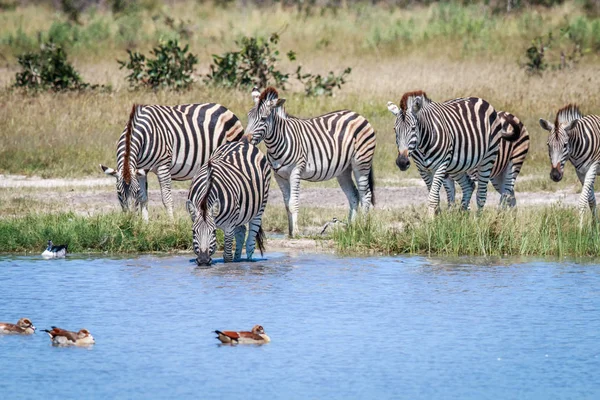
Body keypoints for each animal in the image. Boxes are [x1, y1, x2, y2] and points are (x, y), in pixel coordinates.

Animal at [101, 102, 244, 222]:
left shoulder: (163, 166)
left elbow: (166, 198)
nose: (130, 221)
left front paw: (171, 224)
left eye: (134, 192)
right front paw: (145, 225)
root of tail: (223, 108)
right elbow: (144, 198)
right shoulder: (141, 169)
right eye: (119, 193)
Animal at [244, 86, 376, 238]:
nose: (244, 140)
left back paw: (363, 228)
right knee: (354, 195)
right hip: (343, 170)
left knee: (365, 195)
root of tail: (357, 114)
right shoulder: (279, 176)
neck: (279, 141)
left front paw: (296, 232)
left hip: (361, 162)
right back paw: (352, 228)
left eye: (263, 119)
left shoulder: (296, 171)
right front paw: (290, 232)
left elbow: (293, 203)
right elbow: (286, 204)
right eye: (248, 117)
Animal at [386, 91, 524, 216]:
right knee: (469, 186)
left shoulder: (441, 165)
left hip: (489, 159)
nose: (402, 162)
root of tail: (479, 99)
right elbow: (435, 198)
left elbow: (432, 198)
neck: (423, 145)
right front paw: (437, 221)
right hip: (457, 166)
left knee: (482, 194)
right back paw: (461, 219)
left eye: (414, 128)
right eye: (395, 130)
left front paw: (431, 224)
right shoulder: (423, 169)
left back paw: (478, 222)